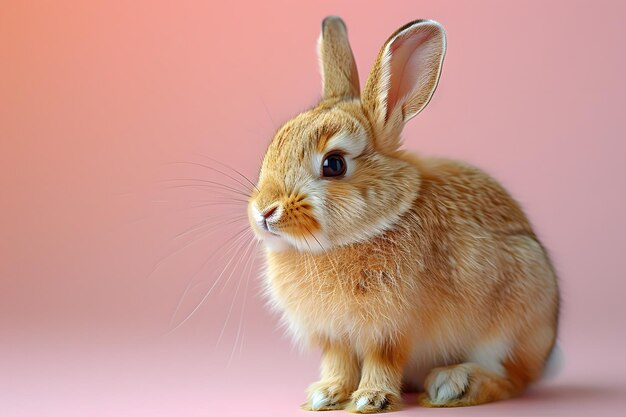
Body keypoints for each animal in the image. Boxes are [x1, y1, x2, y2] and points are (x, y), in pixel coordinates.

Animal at [244, 15, 556, 410]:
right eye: (274, 146)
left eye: (334, 164)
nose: (264, 212)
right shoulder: (334, 336)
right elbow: (338, 362)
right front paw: (324, 395)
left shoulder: (391, 328)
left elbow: (383, 360)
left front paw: (370, 399)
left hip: (512, 322)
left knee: (513, 379)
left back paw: (454, 385)